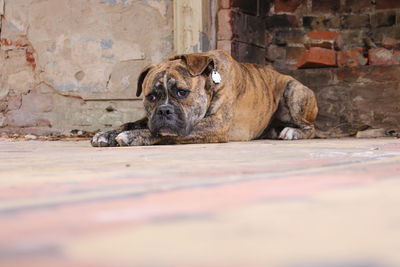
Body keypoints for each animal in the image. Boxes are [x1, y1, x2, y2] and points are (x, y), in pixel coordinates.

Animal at [91, 49, 318, 148]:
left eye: (182, 92)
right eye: (152, 96)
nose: (164, 110)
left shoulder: (215, 125)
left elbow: (167, 134)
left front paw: (133, 136)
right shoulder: (150, 118)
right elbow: (131, 123)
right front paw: (106, 134)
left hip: (294, 91)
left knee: (311, 128)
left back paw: (292, 132)